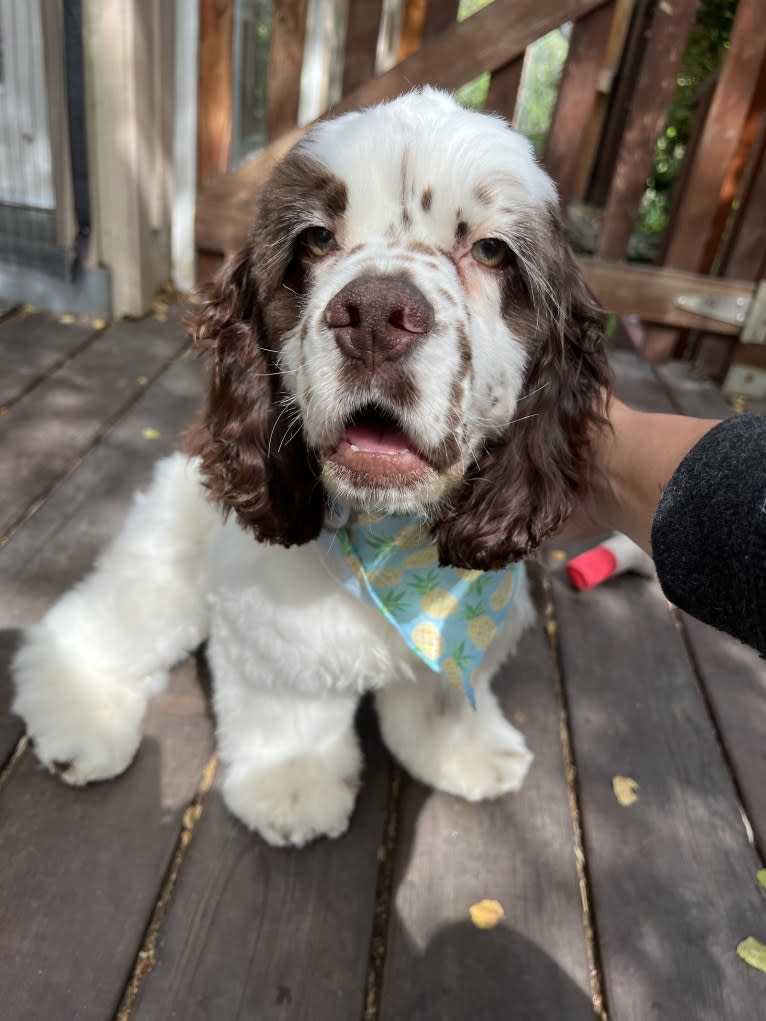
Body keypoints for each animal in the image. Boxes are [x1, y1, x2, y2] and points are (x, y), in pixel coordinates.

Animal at [10, 89, 612, 845]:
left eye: (492, 250)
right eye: (316, 240)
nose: (376, 313)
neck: (390, 547)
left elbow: (445, 690)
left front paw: (466, 750)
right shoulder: (273, 634)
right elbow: (291, 709)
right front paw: (291, 786)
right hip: (166, 555)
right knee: (103, 624)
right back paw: (76, 713)